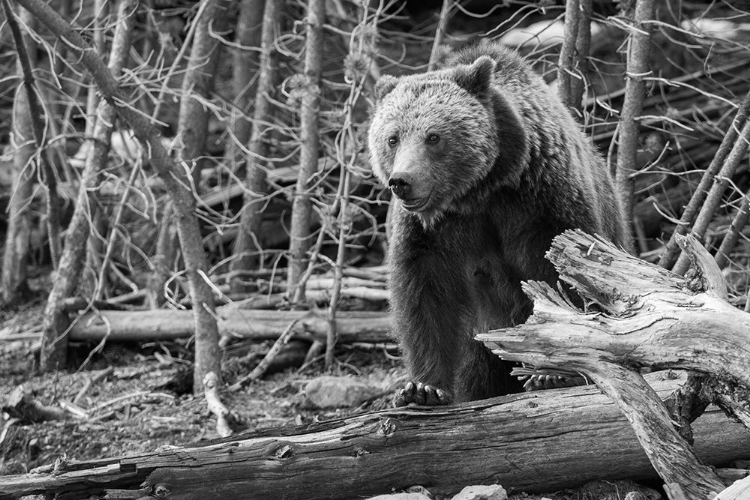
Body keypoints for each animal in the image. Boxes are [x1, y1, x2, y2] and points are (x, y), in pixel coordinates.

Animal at [370, 43, 636, 406]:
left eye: (433, 136)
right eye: (393, 137)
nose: (402, 181)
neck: (479, 191)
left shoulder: (540, 201)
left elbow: (561, 275)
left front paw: (552, 373)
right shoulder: (431, 231)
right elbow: (425, 294)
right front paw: (423, 388)